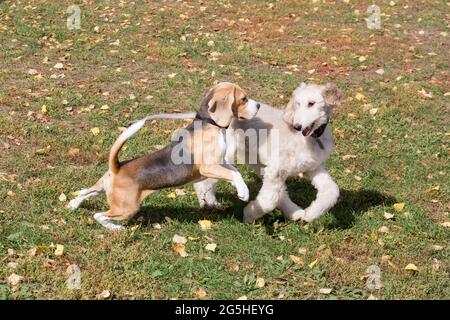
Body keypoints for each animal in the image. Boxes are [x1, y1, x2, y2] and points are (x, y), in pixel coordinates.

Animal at [68, 81, 262, 229]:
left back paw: (73, 204)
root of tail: (117, 167)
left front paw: (242, 188)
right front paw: (243, 193)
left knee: (86, 191)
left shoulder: (221, 162)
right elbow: (233, 174)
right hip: (127, 208)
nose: (259, 105)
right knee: (99, 215)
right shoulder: (209, 167)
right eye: (244, 99)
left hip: (104, 188)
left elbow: (235, 172)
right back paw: (114, 227)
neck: (209, 123)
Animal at [193, 82, 342, 222]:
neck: (311, 139)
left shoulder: (312, 168)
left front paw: (311, 214)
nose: (297, 126)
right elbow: (268, 202)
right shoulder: (276, 170)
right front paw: (249, 214)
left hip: (255, 159)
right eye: (297, 104)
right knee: (204, 180)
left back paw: (294, 212)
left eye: (311, 103)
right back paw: (209, 203)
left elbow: (332, 191)